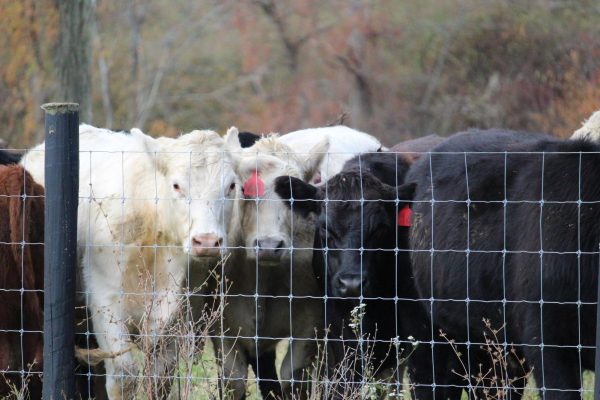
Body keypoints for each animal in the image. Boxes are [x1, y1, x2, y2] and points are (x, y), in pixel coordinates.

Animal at [21, 124, 238, 396]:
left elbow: (160, 378)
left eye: (232, 186)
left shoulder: (180, 313)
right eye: (177, 186)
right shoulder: (105, 301)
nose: (207, 241)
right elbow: (124, 376)